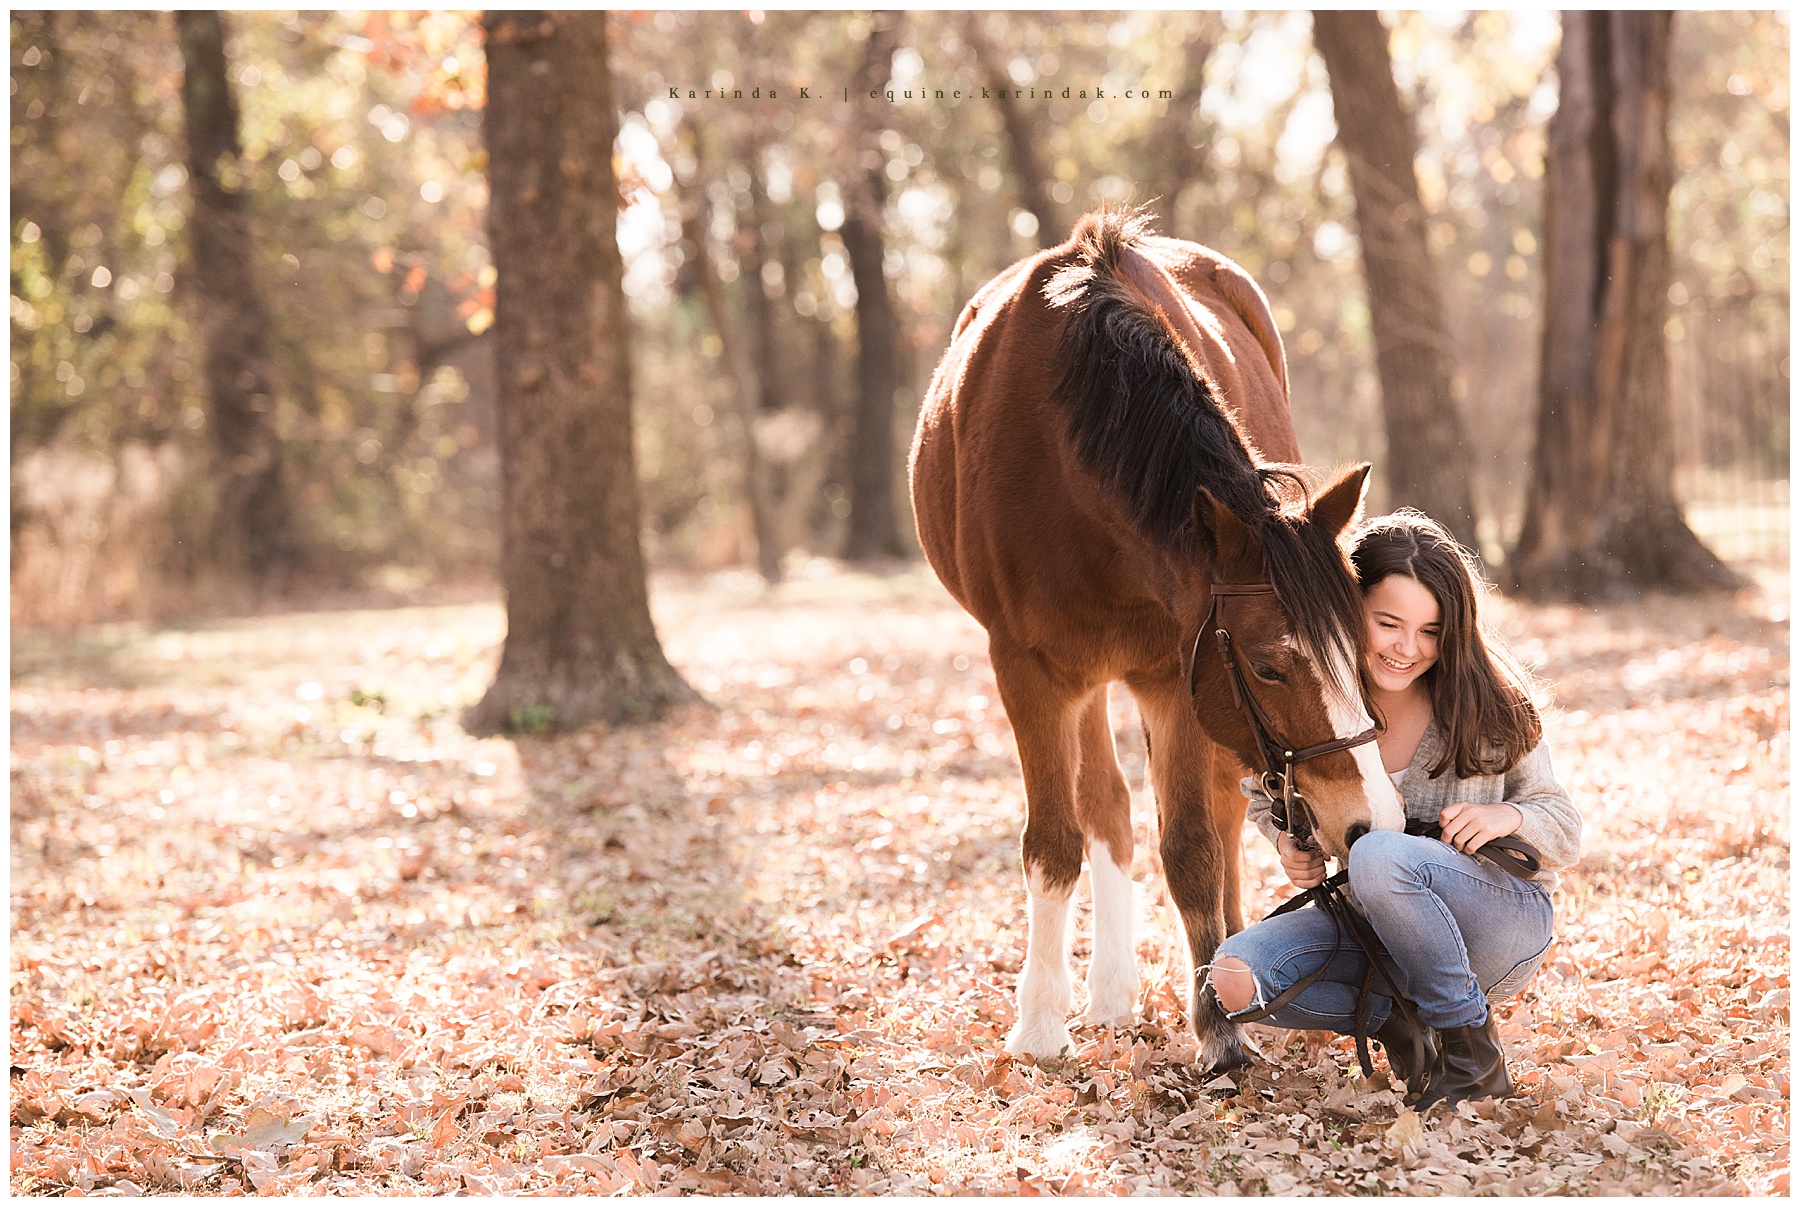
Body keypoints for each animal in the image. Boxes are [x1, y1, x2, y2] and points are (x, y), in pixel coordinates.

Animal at [909, 210, 1405, 1072]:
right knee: (1102, 808)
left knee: (1203, 814)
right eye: (1269, 667)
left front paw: (1220, 1027)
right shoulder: (1028, 670)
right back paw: (1104, 991)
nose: (1370, 820)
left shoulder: (1179, 676)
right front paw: (1039, 1024)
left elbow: (1193, 847)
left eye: (1361, 657)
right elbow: (1054, 842)